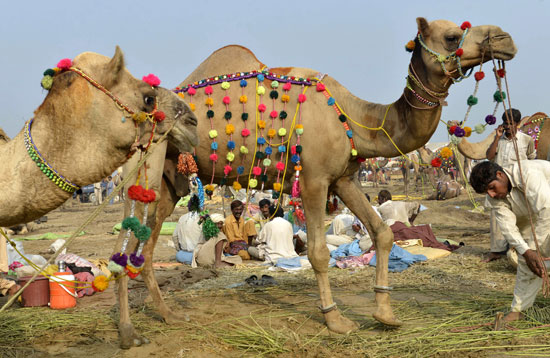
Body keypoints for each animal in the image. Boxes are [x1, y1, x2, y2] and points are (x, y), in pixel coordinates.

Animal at [110, 17, 516, 346]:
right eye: (452, 36)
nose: (505, 38)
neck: (355, 118)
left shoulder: (344, 178)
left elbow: (383, 233)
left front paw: (385, 314)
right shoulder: (314, 178)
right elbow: (319, 253)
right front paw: (335, 320)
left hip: (170, 180)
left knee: (145, 248)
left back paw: (168, 315)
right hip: (142, 167)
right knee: (124, 244)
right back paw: (128, 333)